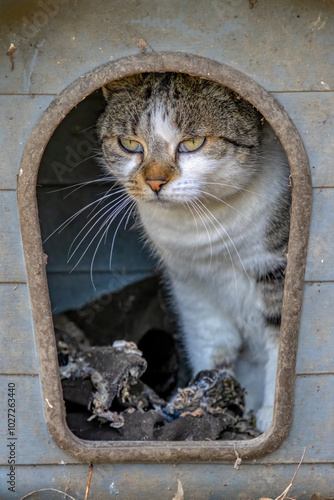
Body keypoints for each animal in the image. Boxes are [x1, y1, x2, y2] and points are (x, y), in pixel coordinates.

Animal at [96, 72, 290, 432]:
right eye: (129, 144)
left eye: (193, 142)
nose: (155, 183)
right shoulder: (193, 287)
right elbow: (212, 346)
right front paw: (210, 398)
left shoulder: (277, 271)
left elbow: (279, 341)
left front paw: (270, 414)